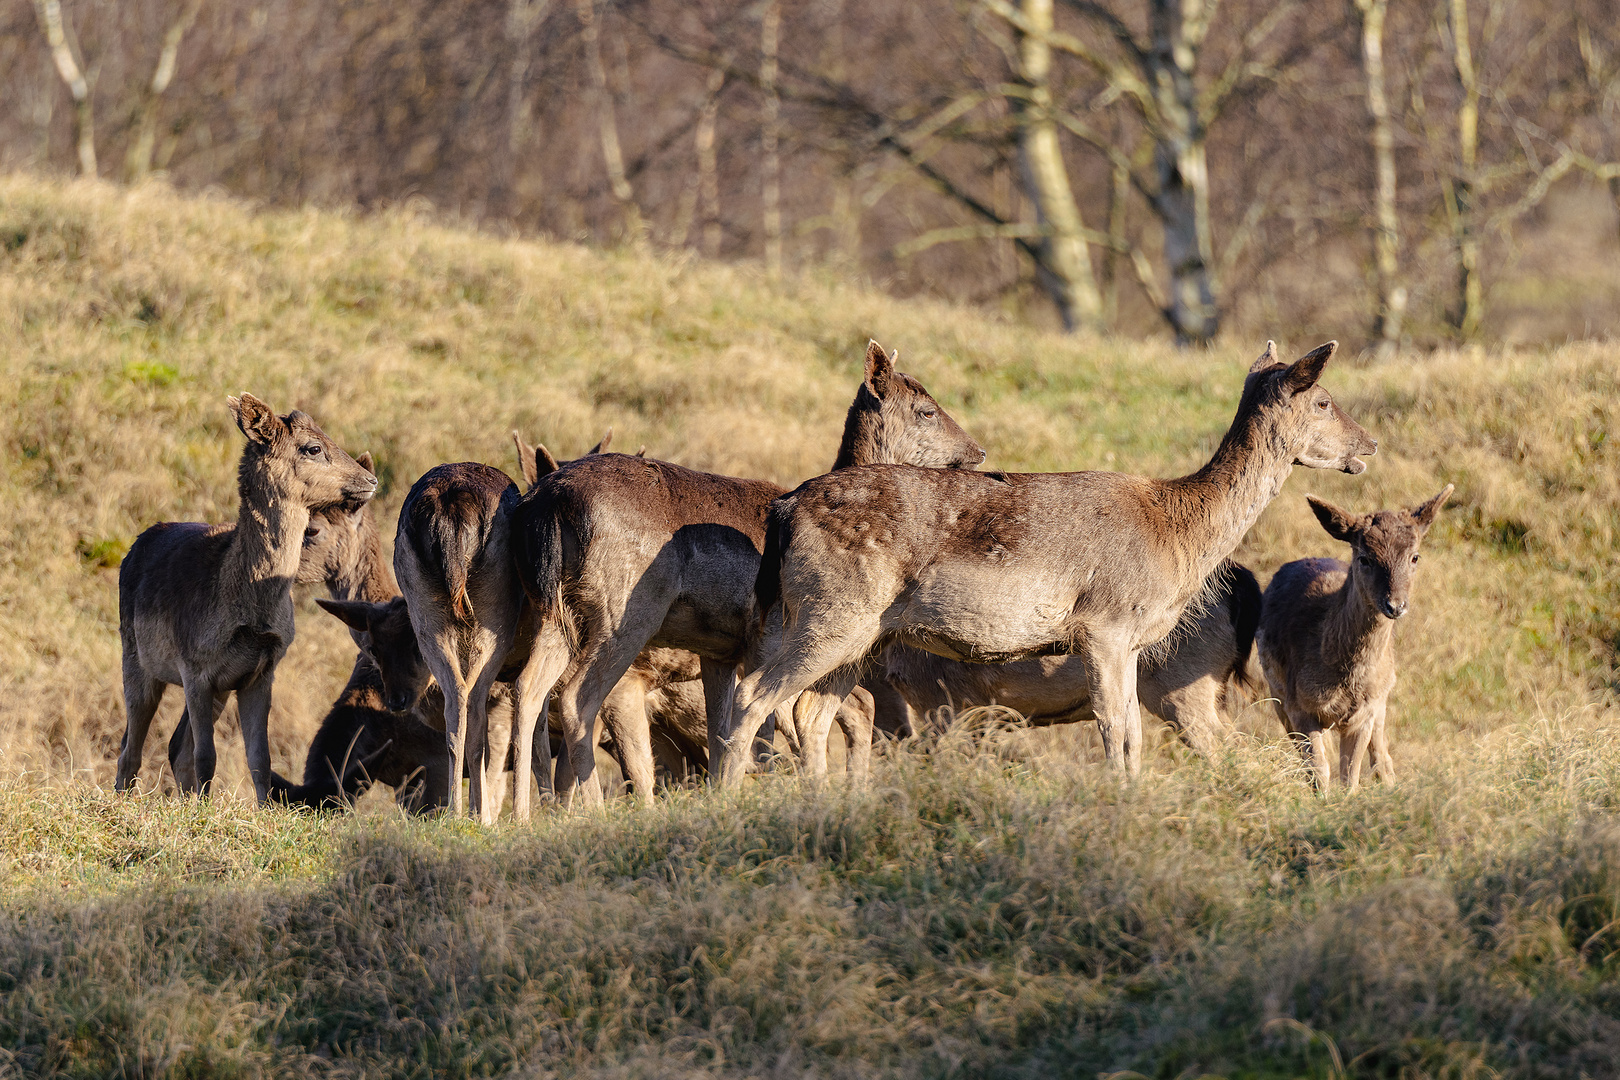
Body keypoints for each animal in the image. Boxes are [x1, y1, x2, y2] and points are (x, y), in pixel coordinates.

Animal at [115, 393, 379, 799]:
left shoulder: (261, 670)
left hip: (216, 687)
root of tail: (132, 550)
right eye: (313, 447)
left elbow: (260, 757)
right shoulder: (194, 664)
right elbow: (207, 754)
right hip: (134, 655)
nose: (370, 479)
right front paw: (203, 809)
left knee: (174, 746)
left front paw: (261, 808)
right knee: (131, 746)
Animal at [508, 341, 984, 806]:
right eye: (926, 409)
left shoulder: (719, 649)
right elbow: (763, 728)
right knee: (577, 699)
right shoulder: (765, 634)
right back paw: (591, 809)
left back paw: (527, 814)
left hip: (552, 610)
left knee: (529, 691)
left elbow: (724, 733)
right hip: (625, 609)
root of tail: (550, 501)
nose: (978, 452)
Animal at [1250, 485, 1458, 790]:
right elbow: (1319, 773)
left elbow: (1351, 776)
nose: (1395, 605)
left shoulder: (1367, 710)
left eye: (1415, 556)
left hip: (1382, 697)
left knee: (1382, 756)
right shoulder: (1297, 704)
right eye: (1365, 558)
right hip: (1275, 691)